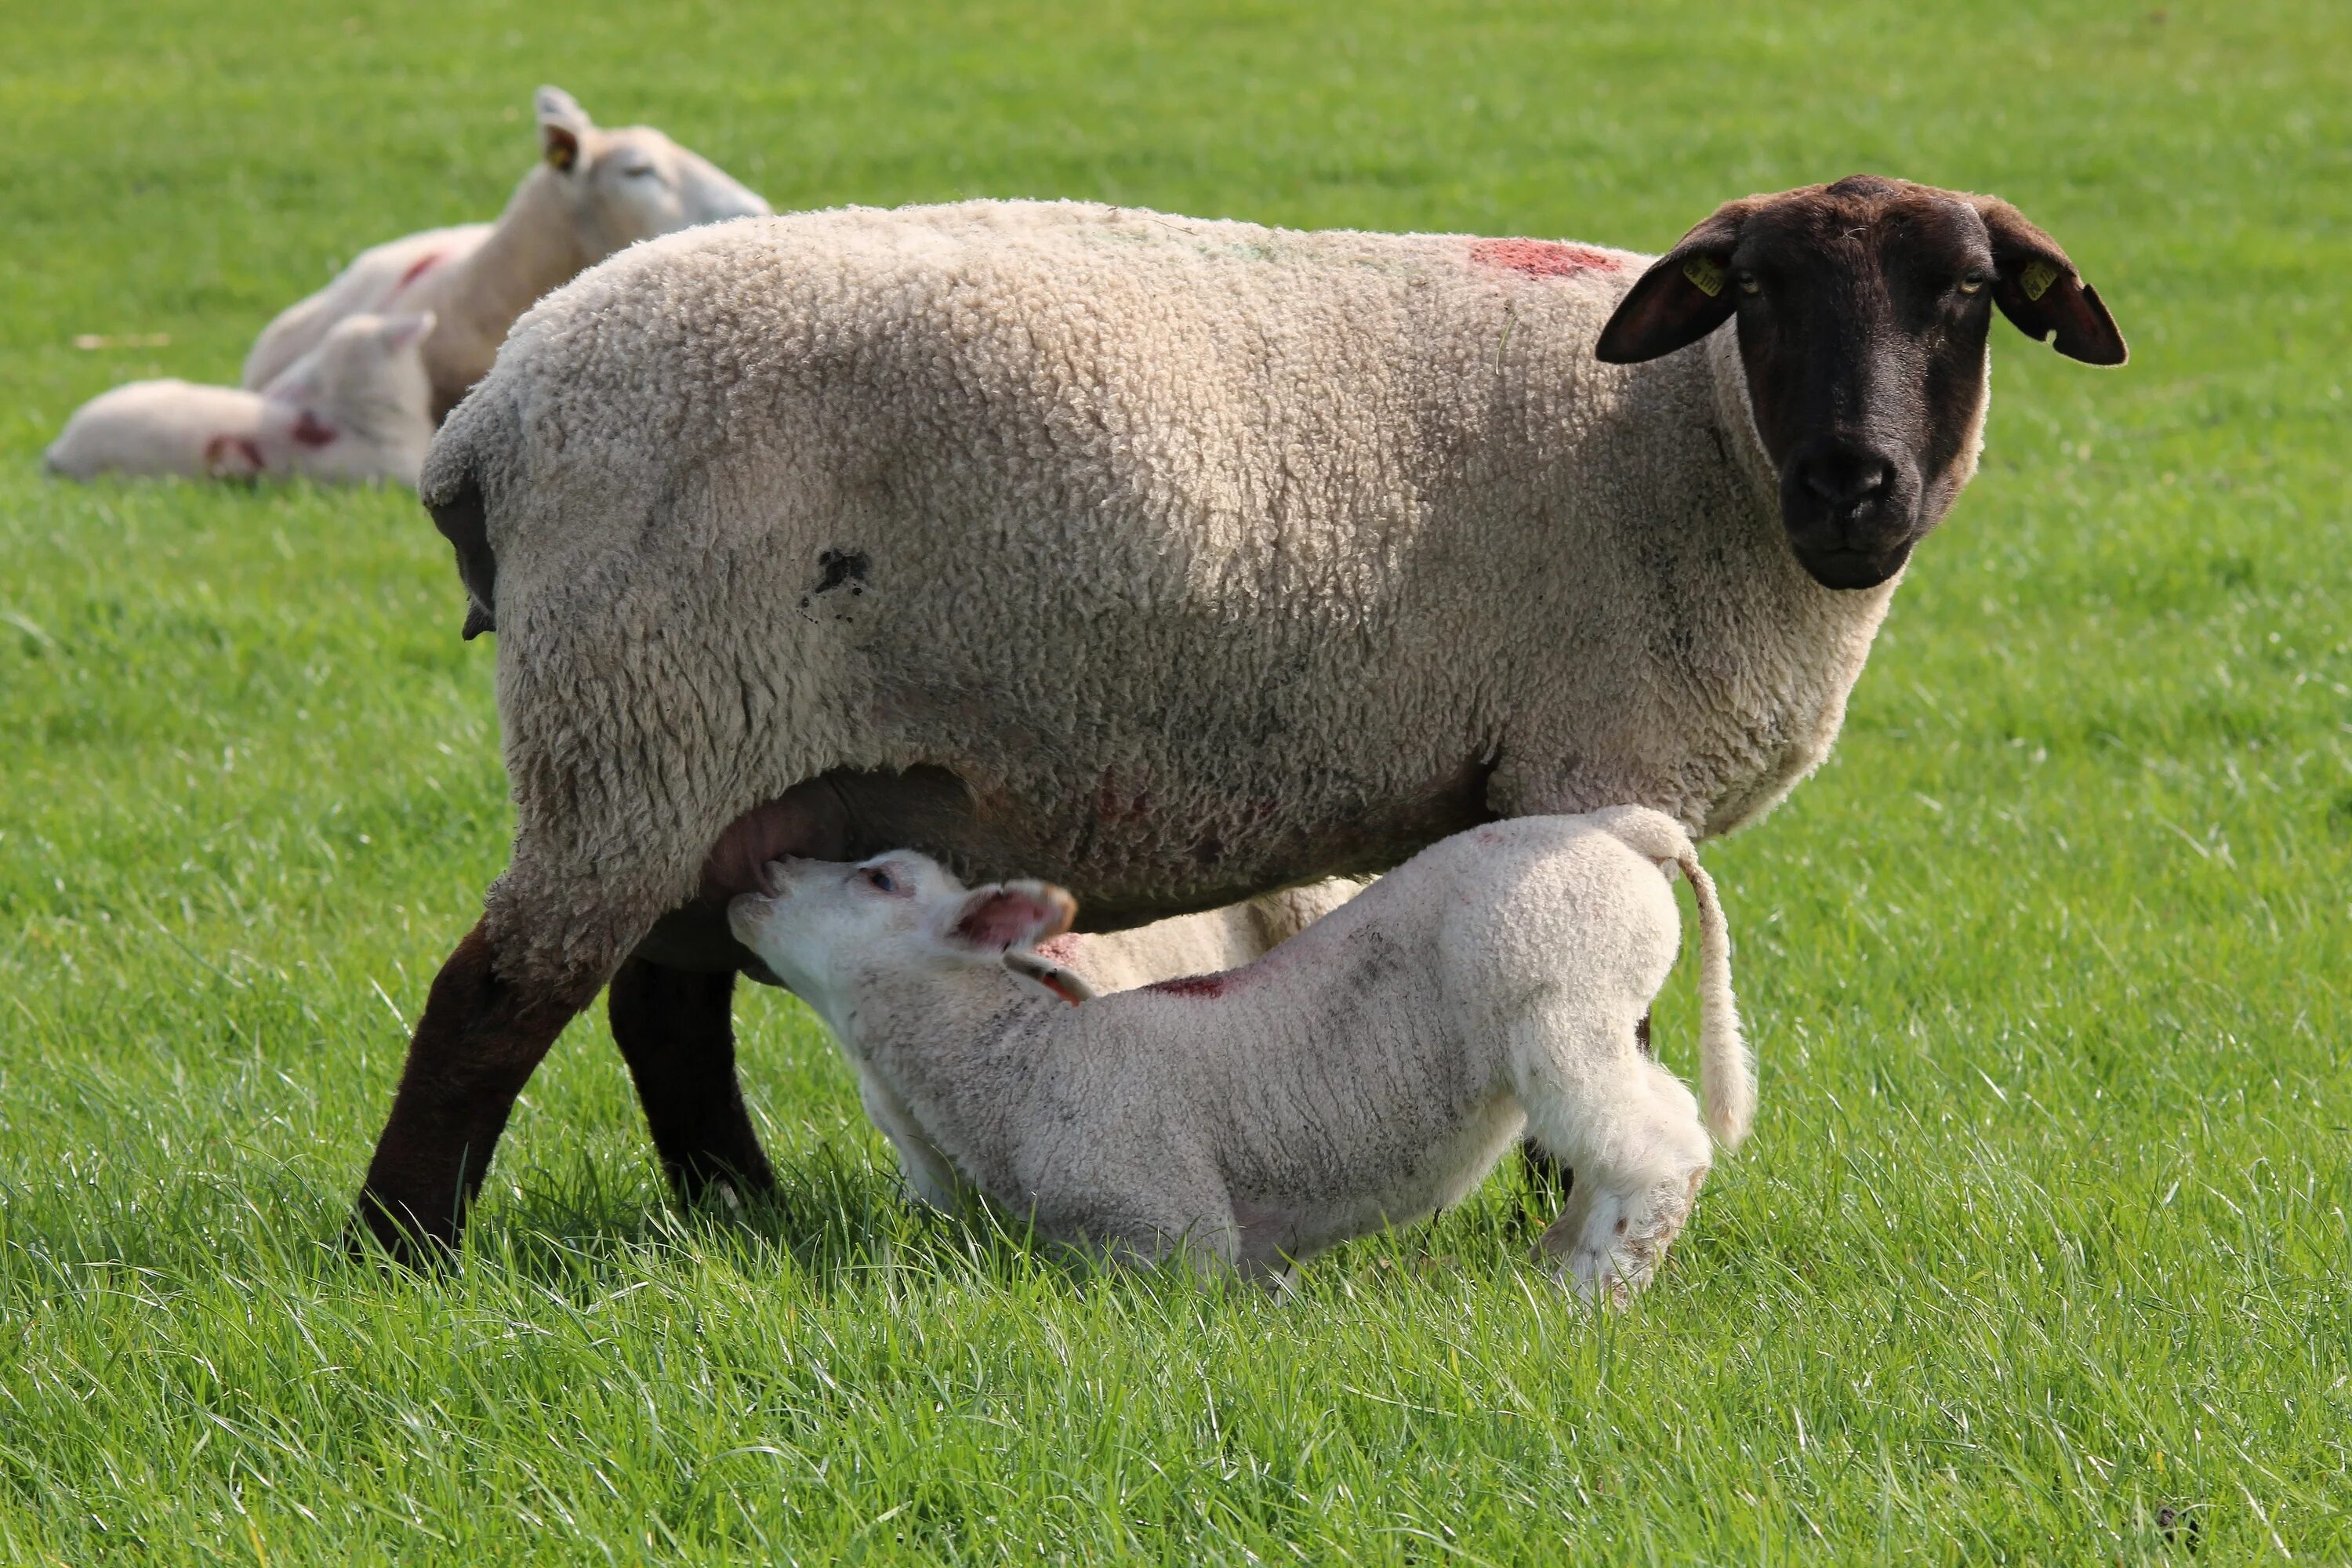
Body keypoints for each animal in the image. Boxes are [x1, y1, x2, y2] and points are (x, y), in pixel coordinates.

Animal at [729, 808, 1750, 1298]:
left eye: (878, 878)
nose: (755, 876)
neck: (1022, 1065)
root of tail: (1631, 828)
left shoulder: (1169, 1226)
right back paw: (1555, 1262)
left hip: (1561, 990)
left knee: (1659, 1146)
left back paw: (1593, 1291)